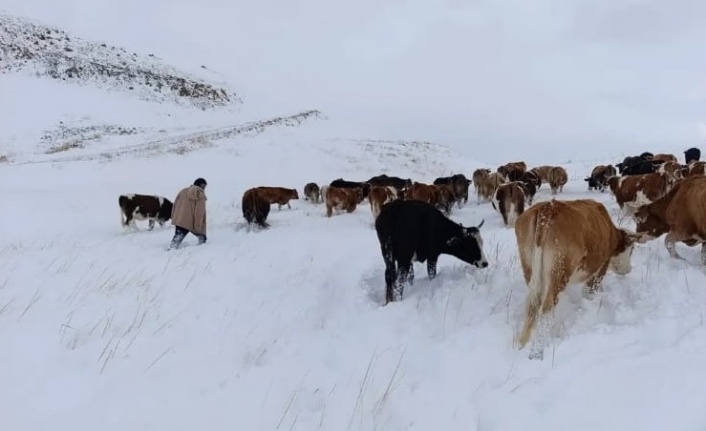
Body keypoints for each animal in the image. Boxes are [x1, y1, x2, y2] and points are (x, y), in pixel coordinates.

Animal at [512, 201, 640, 360]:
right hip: (560, 269)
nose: (629, 269)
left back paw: (522, 344)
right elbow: (589, 292)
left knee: (532, 304)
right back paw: (536, 352)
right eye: (632, 250)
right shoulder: (600, 268)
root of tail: (549, 206)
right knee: (547, 307)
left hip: (530, 266)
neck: (611, 232)